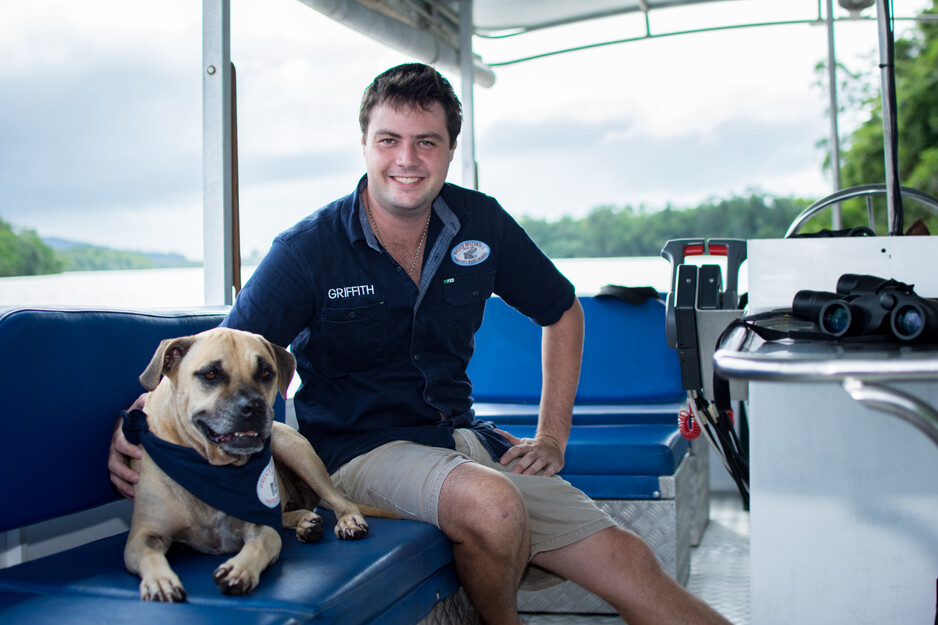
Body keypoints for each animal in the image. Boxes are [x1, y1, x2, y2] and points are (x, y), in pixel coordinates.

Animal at [123, 326, 376, 600]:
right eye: (210, 374)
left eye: (266, 373)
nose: (254, 407)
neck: (212, 468)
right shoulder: (141, 536)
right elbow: (148, 554)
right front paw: (160, 580)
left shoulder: (261, 527)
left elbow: (259, 545)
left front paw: (239, 570)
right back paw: (306, 522)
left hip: (296, 453)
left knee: (340, 500)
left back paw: (346, 521)